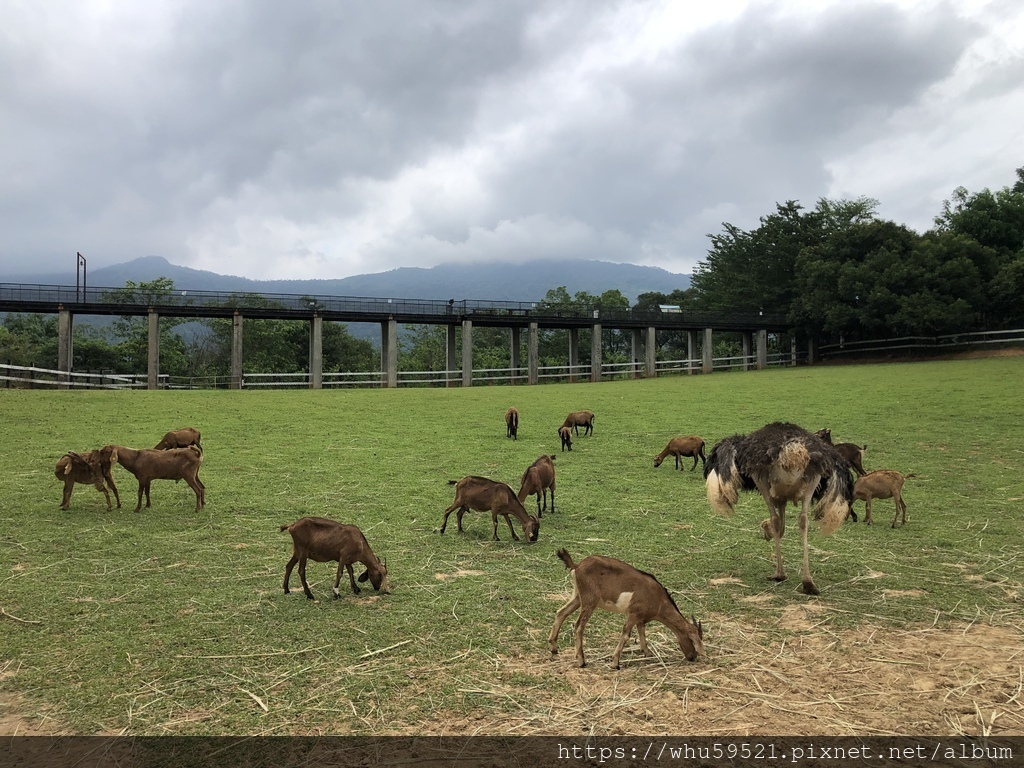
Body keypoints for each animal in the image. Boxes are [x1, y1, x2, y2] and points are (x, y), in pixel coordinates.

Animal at [552, 548, 704, 671]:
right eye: (692, 640)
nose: (692, 657)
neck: (659, 599)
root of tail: (577, 566)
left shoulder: (640, 617)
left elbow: (642, 632)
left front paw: (647, 653)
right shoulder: (633, 613)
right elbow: (626, 634)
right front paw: (615, 663)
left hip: (578, 597)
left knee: (561, 613)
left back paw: (554, 648)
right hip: (589, 600)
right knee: (578, 626)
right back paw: (582, 661)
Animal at [704, 423, 856, 598]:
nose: (765, 534)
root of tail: (792, 450)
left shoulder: (773, 492)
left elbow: (777, 523)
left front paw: (767, 529)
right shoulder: (783, 498)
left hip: (762, 479)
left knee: (777, 519)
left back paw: (779, 574)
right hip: (812, 481)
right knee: (803, 520)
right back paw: (808, 583)